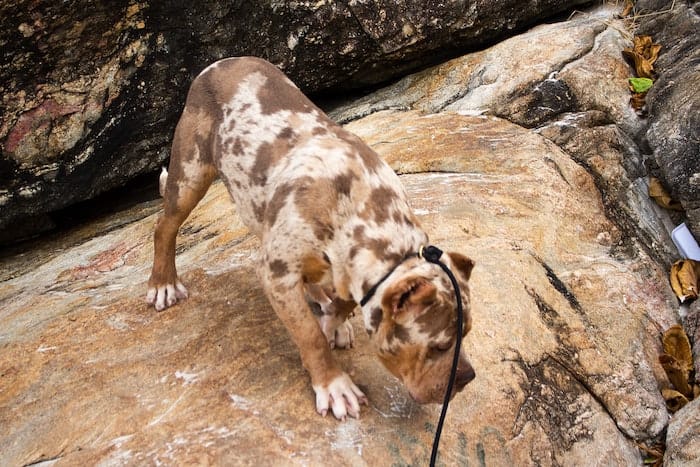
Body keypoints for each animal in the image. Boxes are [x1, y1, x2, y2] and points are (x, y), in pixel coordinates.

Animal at [146, 57, 476, 420]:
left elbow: (340, 305)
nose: (468, 377)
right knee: (165, 226)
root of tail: (223, 61)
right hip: (190, 171)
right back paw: (163, 283)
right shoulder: (276, 272)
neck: (367, 213)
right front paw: (333, 385)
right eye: (440, 345)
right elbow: (309, 335)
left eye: (467, 333)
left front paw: (333, 321)